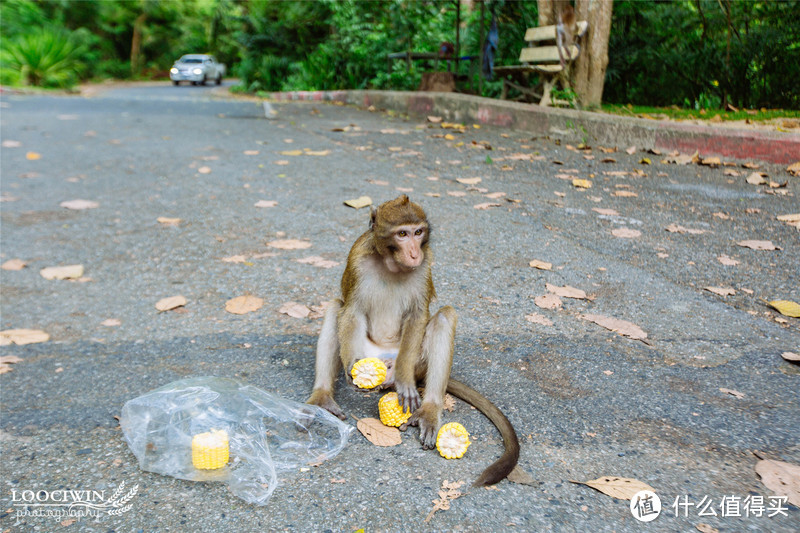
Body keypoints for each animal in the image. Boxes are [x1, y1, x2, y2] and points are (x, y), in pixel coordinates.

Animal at [306, 195, 520, 486]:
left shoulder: (425, 266)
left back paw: (428, 409)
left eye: (418, 233)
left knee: (444, 317)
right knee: (334, 307)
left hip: (417, 363)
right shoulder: (357, 258)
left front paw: (406, 382)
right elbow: (350, 310)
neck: (391, 263)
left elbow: (419, 316)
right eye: (402, 234)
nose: (415, 253)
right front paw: (353, 369)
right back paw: (321, 398)